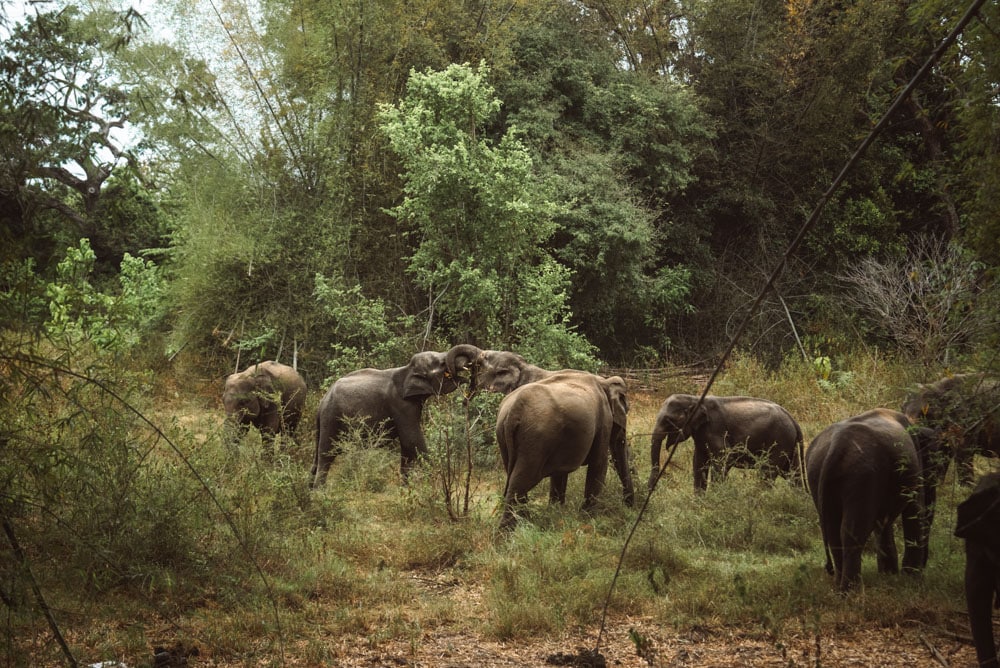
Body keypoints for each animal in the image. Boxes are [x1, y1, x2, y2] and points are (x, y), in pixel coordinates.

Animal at [312, 344, 484, 486]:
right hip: (331, 417)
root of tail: (321, 402)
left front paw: (406, 488)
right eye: (441, 365)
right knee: (326, 453)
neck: (407, 370)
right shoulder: (400, 404)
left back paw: (311, 489)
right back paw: (320, 491)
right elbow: (412, 439)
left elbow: (407, 446)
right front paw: (434, 482)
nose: (465, 400)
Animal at [494, 368, 632, 528]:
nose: (628, 506)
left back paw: (524, 521)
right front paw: (587, 518)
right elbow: (598, 463)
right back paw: (509, 531)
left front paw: (556, 513)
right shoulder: (604, 420)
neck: (604, 380)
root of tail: (514, 410)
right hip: (535, 440)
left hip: (504, 435)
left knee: (514, 479)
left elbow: (559, 473)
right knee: (520, 481)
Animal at [648, 392, 804, 490]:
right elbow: (698, 462)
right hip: (790, 445)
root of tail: (793, 420)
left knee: (768, 472)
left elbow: (724, 459)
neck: (695, 398)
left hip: (780, 441)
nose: (651, 490)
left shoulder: (715, 428)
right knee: (792, 474)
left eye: (668, 420)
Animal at [800, 408, 948, 588]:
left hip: (817, 475)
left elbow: (883, 521)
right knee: (852, 531)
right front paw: (911, 578)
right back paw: (851, 589)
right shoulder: (914, 468)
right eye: (937, 465)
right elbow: (914, 511)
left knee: (832, 529)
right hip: (862, 475)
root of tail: (834, 448)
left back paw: (839, 586)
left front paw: (889, 575)